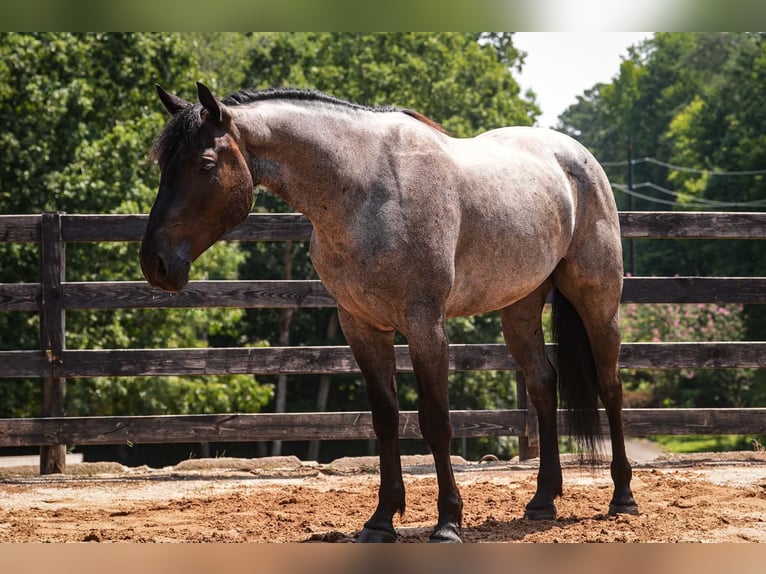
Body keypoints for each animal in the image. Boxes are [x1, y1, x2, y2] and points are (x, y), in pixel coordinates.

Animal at [140, 82, 638, 543]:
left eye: (206, 164)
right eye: (163, 166)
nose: (155, 264)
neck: (364, 191)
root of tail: (577, 156)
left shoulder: (425, 325)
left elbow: (436, 422)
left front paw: (448, 522)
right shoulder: (361, 327)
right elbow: (384, 420)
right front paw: (381, 520)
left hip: (597, 299)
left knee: (610, 386)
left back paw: (622, 496)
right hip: (520, 305)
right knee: (542, 384)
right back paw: (542, 500)